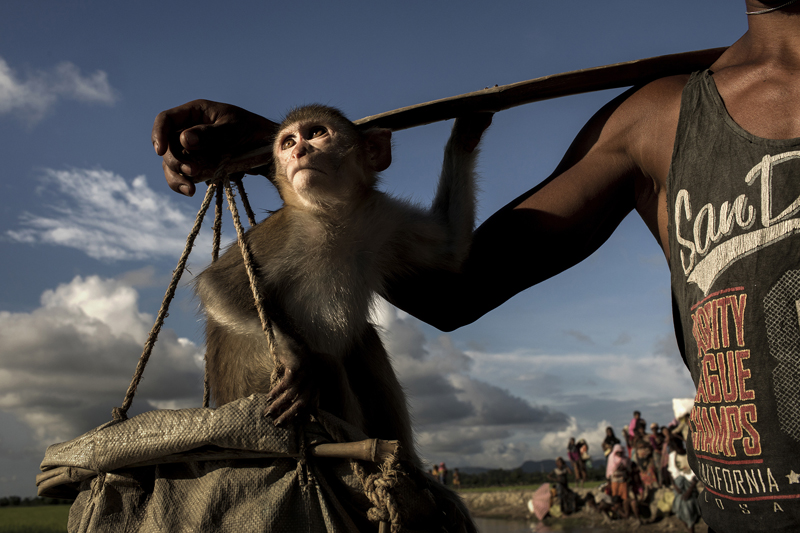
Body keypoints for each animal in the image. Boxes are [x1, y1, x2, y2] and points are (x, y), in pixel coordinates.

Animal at [197, 105, 490, 470]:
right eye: (288, 142)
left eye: (316, 133)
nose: (299, 151)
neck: (331, 215)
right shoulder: (286, 231)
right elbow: (216, 285)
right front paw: (294, 357)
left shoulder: (382, 218)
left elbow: (450, 245)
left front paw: (466, 131)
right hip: (254, 384)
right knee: (328, 366)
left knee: (363, 342)